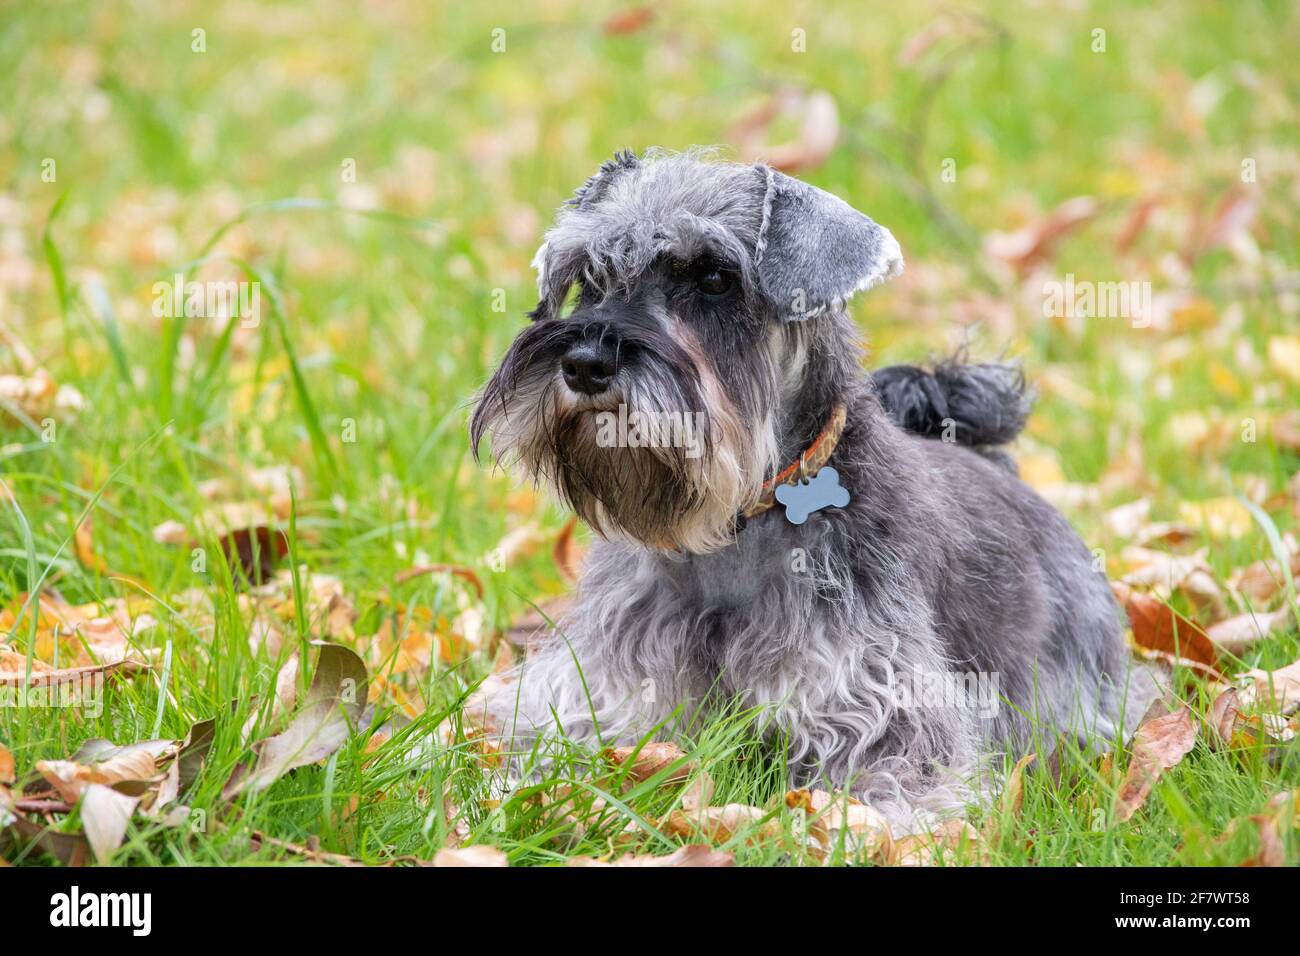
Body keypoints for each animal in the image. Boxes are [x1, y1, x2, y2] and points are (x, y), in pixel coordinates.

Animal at [465, 149, 1149, 832]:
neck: (732, 533)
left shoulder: (879, 712)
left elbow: (888, 799)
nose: (584, 363)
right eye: (591, 276)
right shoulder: (599, 695)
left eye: (714, 276)